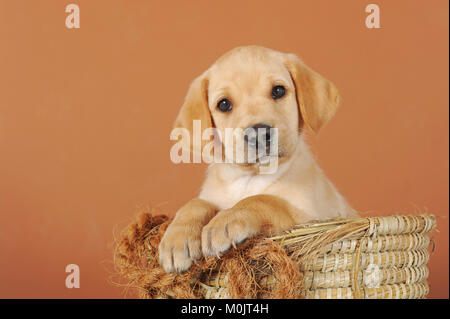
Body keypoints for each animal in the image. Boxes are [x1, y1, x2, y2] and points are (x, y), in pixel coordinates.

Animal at [160, 46, 356, 274]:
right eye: (224, 104)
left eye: (278, 91)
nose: (259, 133)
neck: (250, 178)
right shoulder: (211, 196)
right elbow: (196, 202)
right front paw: (176, 238)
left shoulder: (311, 218)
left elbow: (265, 200)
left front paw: (225, 220)